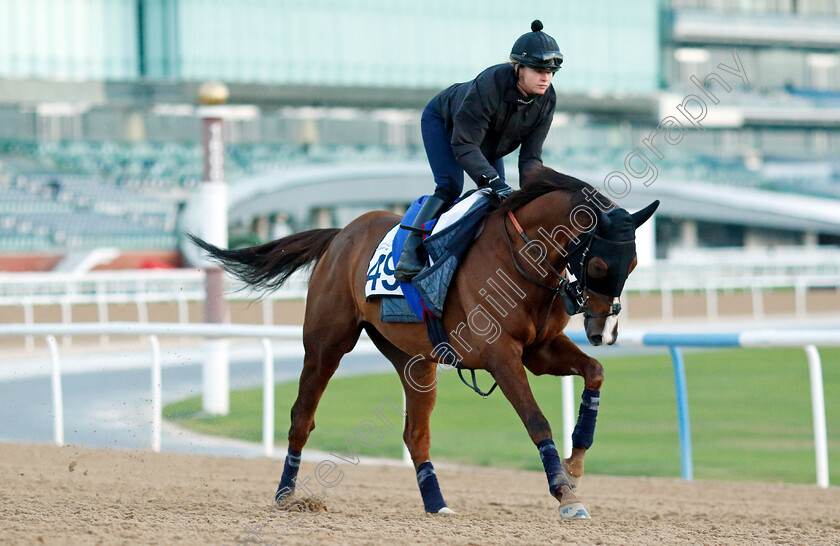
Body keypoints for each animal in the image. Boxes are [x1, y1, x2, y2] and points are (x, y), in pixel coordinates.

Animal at [194, 166, 660, 520]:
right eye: (598, 264)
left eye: (635, 262)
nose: (605, 330)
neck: (522, 259)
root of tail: (341, 234)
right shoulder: (501, 355)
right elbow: (538, 421)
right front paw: (565, 495)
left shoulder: (539, 350)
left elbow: (594, 373)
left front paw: (575, 465)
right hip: (326, 344)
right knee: (301, 417)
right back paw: (287, 495)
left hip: (415, 361)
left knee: (415, 433)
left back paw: (436, 503)